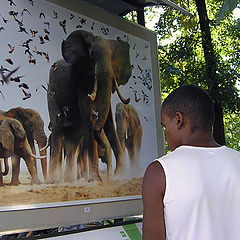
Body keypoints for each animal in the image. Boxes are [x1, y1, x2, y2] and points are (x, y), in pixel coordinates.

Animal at [47, 30, 132, 183]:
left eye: (113, 58)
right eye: (92, 54)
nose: (95, 114)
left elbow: (109, 122)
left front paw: (121, 175)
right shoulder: (81, 80)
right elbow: (88, 117)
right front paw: (96, 180)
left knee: (73, 139)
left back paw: (69, 181)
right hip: (52, 91)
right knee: (57, 129)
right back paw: (53, 181)